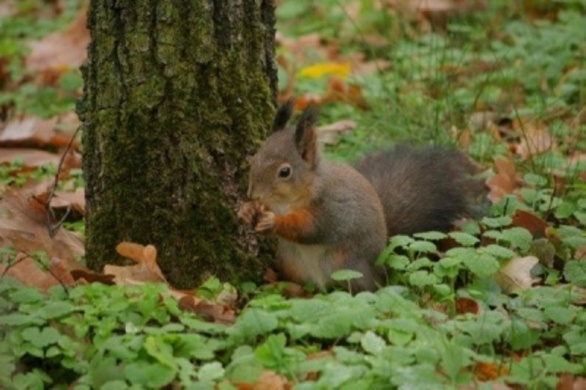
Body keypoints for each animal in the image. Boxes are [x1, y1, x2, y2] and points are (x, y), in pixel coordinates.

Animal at [235, 99, 482, 290]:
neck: (288, 201)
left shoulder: (330, 208)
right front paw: (248, 210)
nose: (252, 193)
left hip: (347, 267)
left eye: (284, 172)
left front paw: (273, 221)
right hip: (292, 265)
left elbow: (309, 228)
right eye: (254, 157)